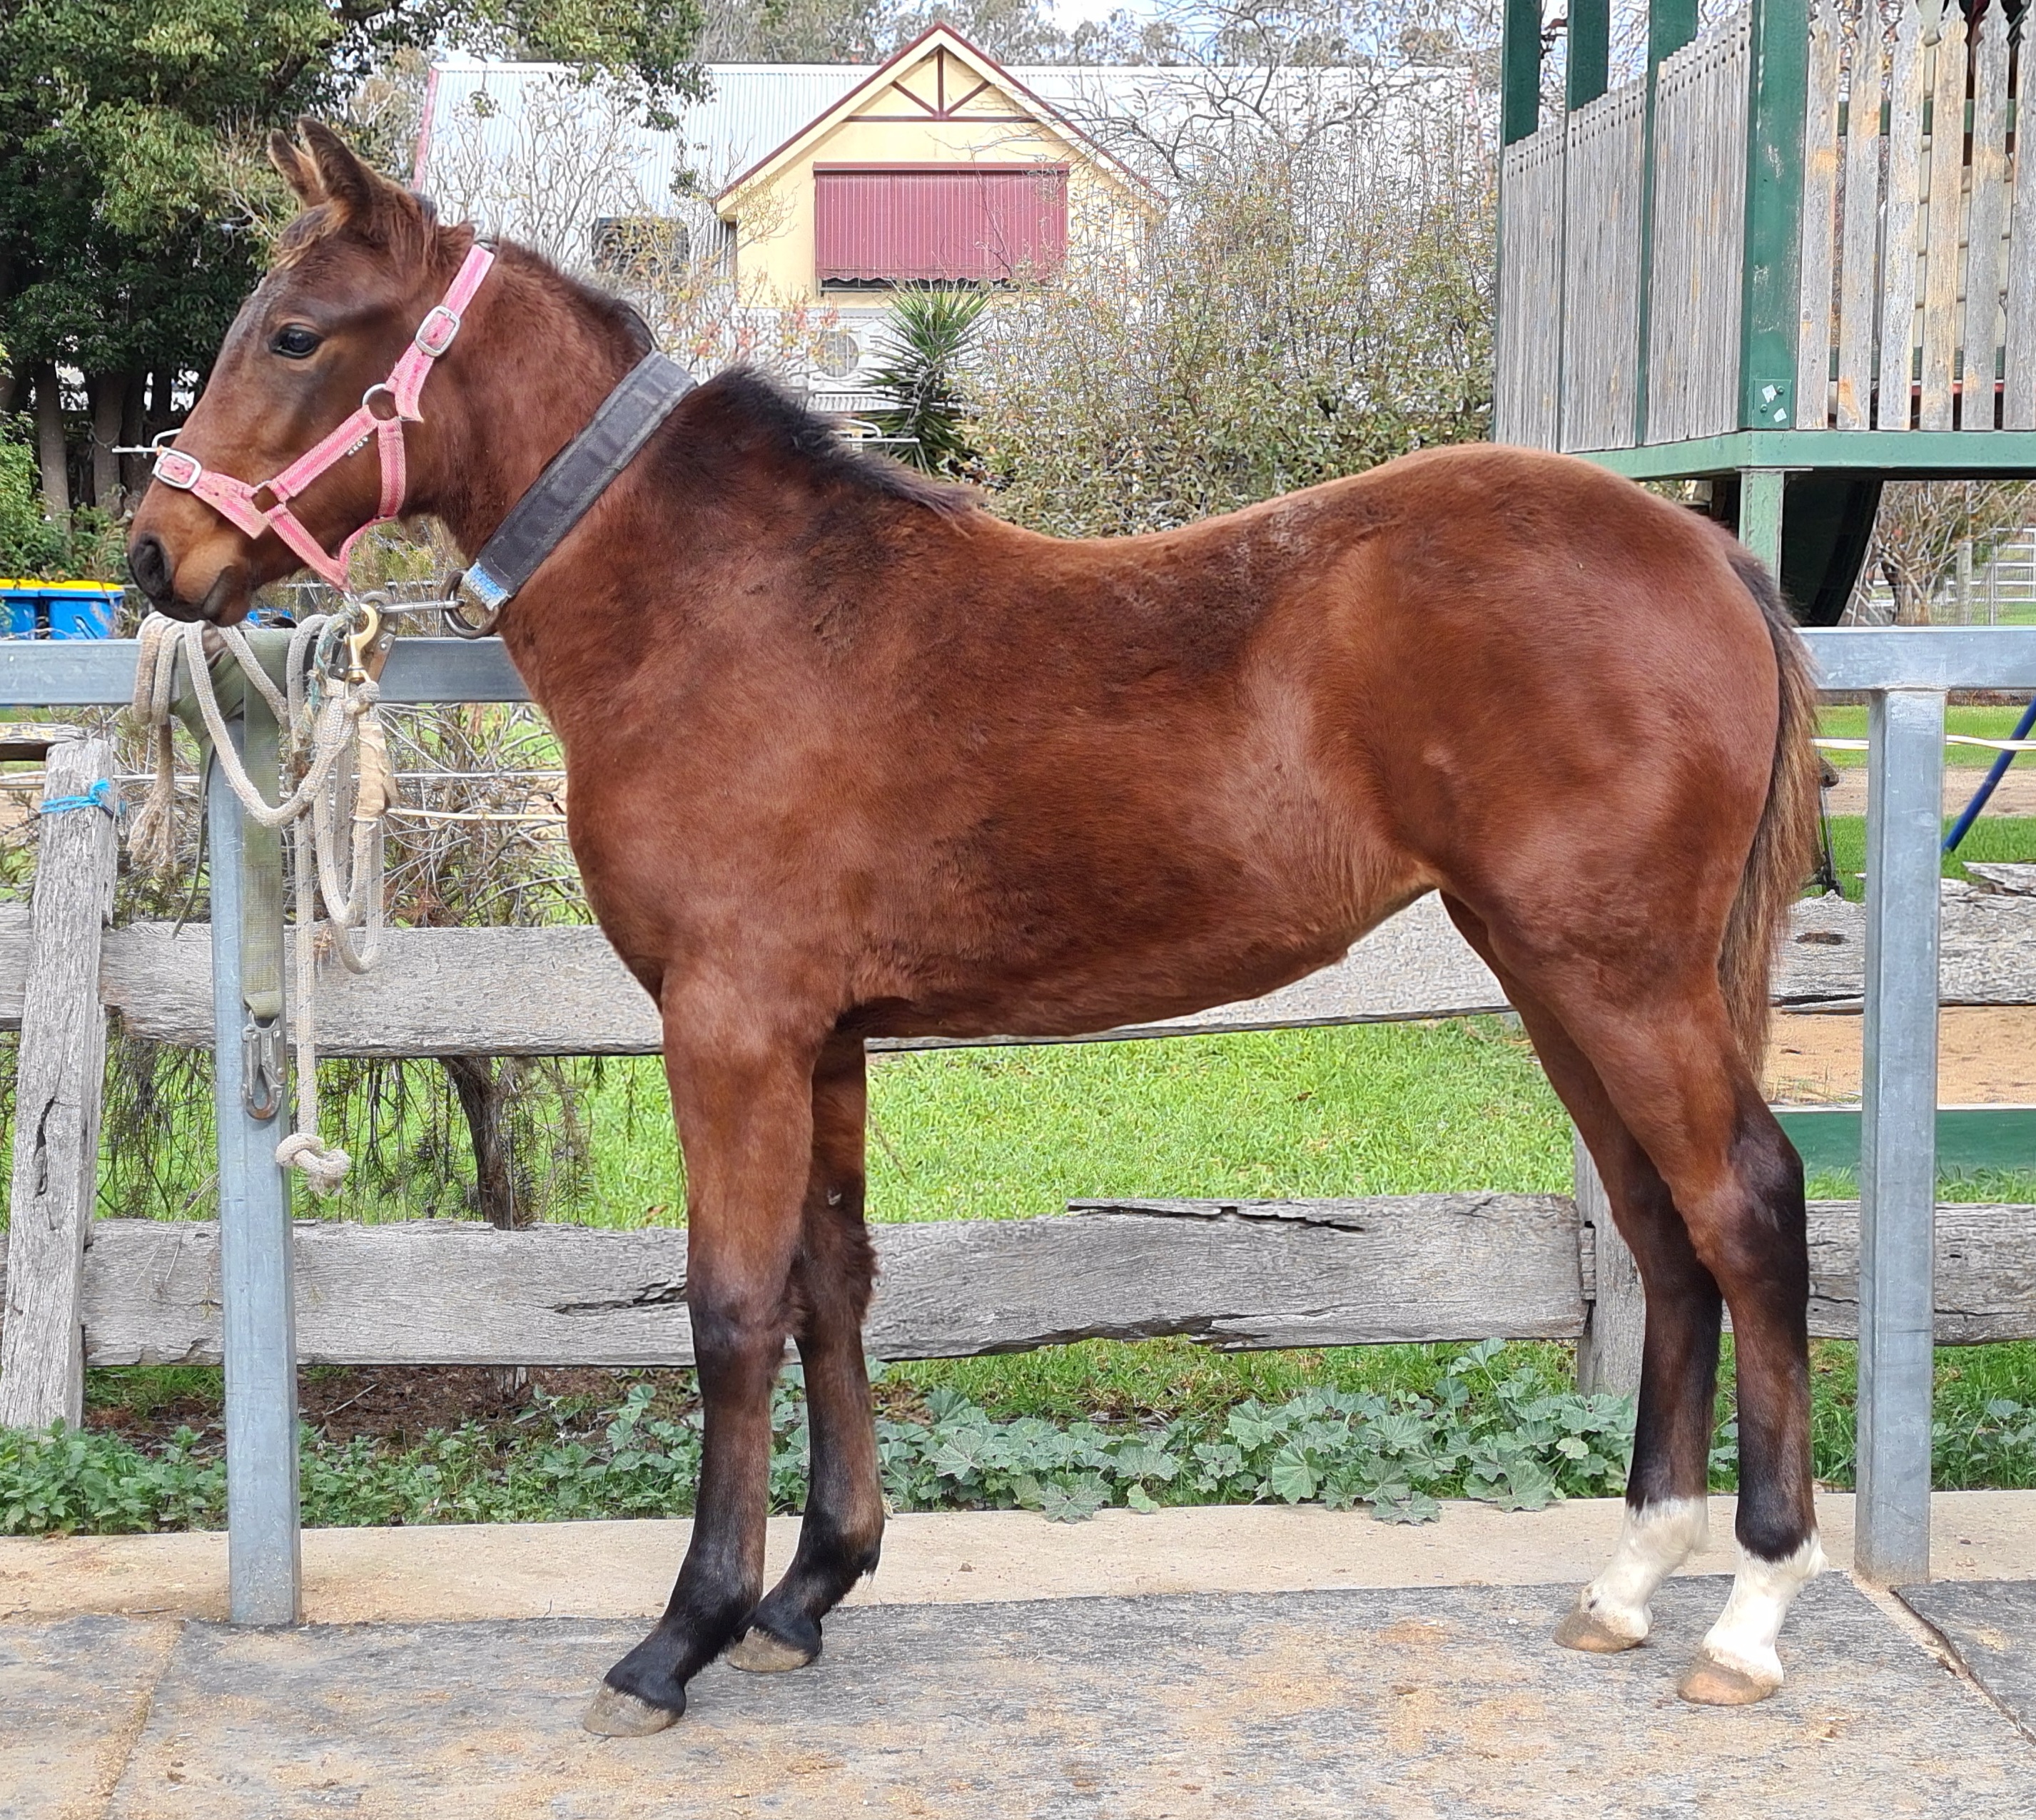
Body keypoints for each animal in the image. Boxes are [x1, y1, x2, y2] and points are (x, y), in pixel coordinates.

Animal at [128, 122, 1825, 1735]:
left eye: (294, 335)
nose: (155, 554)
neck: (727, 609)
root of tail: (1705, 554)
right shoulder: (818, 1038)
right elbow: (831, 1281)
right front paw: (810, 1589)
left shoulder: (729, 1024)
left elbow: (731, 1311)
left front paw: (681, 1634)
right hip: (1547, 972)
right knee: (1659, 1227)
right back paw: (1627, 1579)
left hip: (1619, 977)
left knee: (1742, 1205)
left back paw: (1750, 1614)